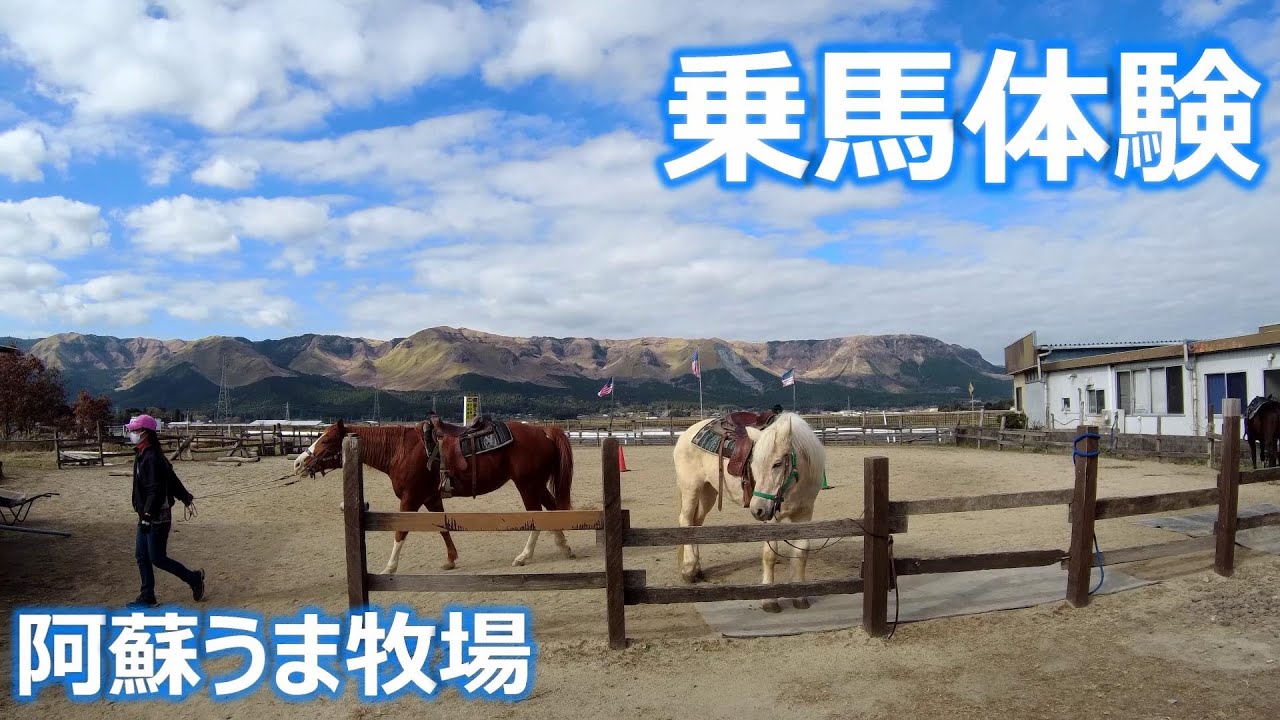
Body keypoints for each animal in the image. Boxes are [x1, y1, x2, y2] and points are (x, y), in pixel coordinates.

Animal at [293, 416, 577, 572]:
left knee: (537, 516)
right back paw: (563, 546)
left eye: (326, 441)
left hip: (527, 484)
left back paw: (524, 556)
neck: (400, 450)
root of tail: (543, 431)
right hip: (536, 484)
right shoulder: (431, 497)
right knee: (553, 509)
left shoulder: (410, 498)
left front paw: (389, 567)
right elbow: (442, 527)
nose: (298, 463)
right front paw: (451, 559)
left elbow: (400, 531)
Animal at [672, 411, 826, 613]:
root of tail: (687, 433)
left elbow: (800, 554)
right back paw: (689, 570)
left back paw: (697, 570)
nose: (757, 509)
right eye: (753, 464)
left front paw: (800, 597)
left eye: (777, 463)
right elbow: (769, 555)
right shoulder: (772, 518)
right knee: (686, 521)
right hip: (691, 487)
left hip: (708, 492)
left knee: (696, 525)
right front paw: (769, 601)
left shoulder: (804, 515)